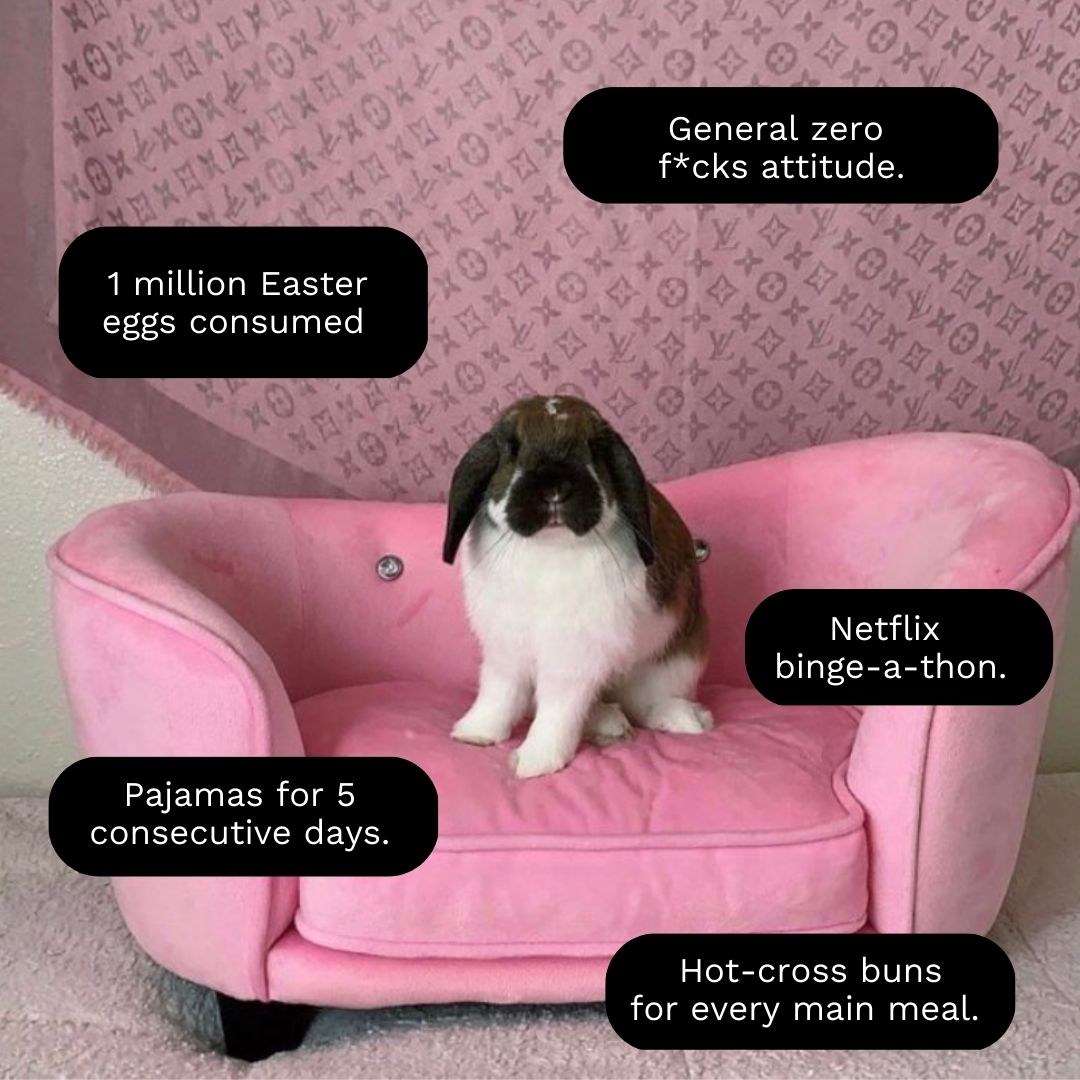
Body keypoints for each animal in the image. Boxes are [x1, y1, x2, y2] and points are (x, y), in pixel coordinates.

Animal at [442, 395, 712, 779]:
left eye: (595, 449)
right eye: (511, 449)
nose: (554, 486)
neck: (550, 547)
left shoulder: (573, 656)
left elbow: (559, 707)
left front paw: (534, 760)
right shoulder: (506, 647)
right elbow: (499, 692)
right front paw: (475, 732)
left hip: (676, 664)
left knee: (646, 704)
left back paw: (685, 719)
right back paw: (609, 724)